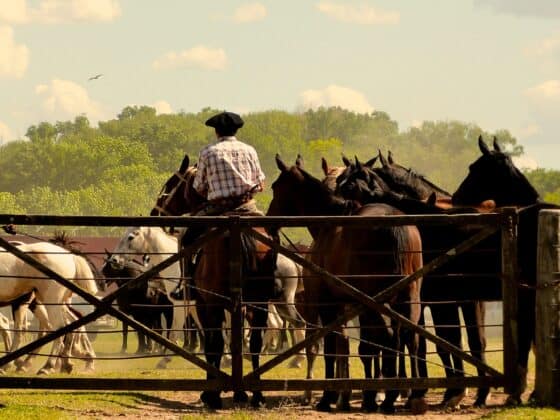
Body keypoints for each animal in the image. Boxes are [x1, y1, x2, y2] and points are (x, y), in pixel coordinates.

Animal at [266, 155, 424, 414]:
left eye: (275, 187)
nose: (269, 224)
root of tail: (394, 225)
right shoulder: (345, 307)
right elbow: (349, 347)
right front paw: (349, 396)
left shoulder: (327, 305)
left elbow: (332, 348)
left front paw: (328, 397)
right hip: (408, 296)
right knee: (409, 337)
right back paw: (413, 395)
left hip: (376, 303)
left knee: (388, 339)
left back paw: (386, 398)